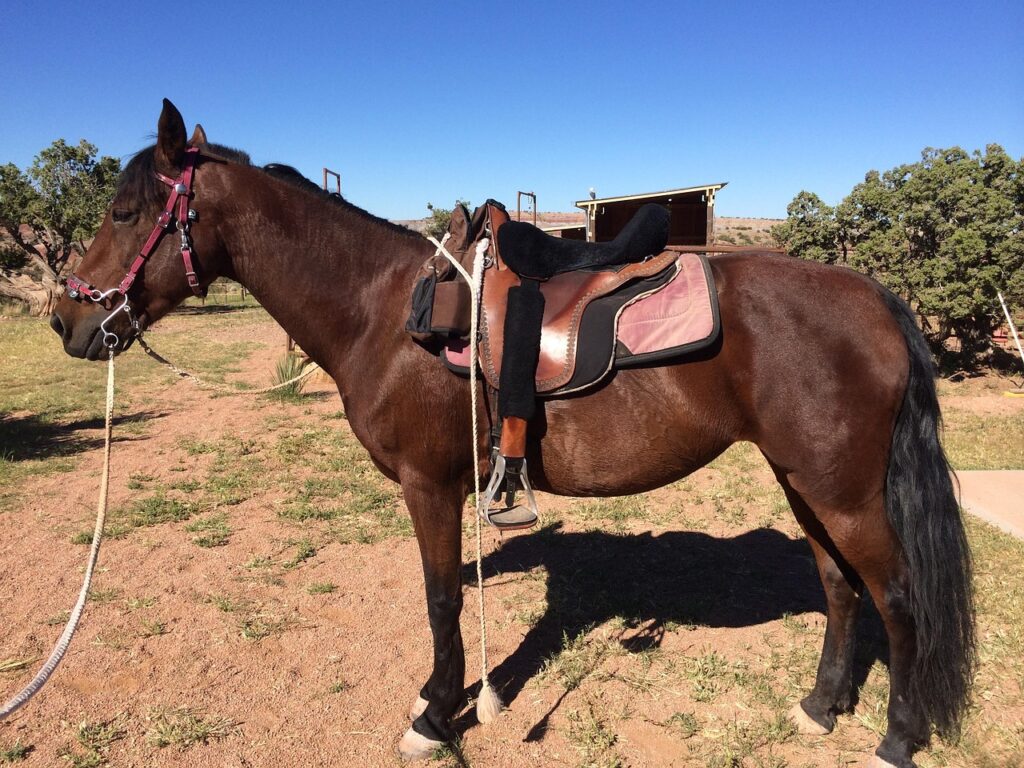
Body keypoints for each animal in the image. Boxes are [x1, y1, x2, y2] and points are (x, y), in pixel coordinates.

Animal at [50, 99, 974, 768]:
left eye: (126, 212)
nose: (67, 319)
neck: (382, 311)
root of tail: (876, 298)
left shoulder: (429, 486)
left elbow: (442, 598)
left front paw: (436, 713)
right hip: (802, 480)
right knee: (839, 587)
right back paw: (821, 708)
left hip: (841, 491)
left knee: (897, 599)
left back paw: (896, 738)